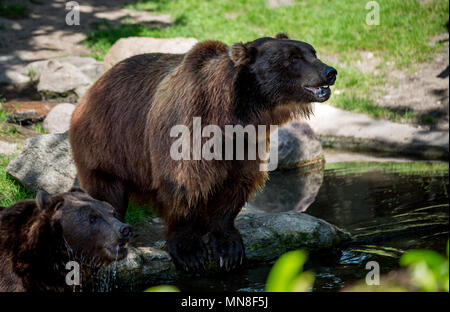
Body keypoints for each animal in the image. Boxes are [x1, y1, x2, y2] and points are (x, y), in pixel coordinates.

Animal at [70, 33, 336, 270]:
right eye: (293, 58)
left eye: (312, 52)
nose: (330, 71)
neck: (233, 115)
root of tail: (95, 85)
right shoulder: (187, 126)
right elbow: (183, 184)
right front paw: (190, 251)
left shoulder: (246, 143)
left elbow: (235, 186)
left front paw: (229, 248)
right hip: (109, 141)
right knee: (108, 192)